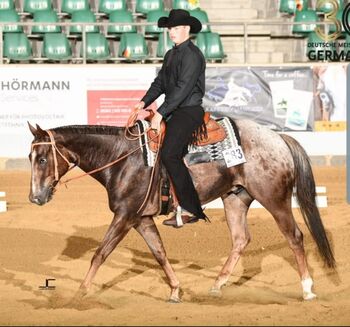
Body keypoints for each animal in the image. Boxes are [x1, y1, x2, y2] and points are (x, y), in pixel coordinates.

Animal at [26, 119, 334, 304]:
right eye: (30, 157)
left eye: (42, 159)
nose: (35, 197)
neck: (122, 159)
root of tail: (278, 138)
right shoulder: (141, 219)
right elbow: (159, 253)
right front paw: (175, 290)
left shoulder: (124, 216)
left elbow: (100, 253)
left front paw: (79, 294)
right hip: (235, 198)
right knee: (240, 240)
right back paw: (217, 285)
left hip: (274, 198)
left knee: (294, 236)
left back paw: (307, 289)